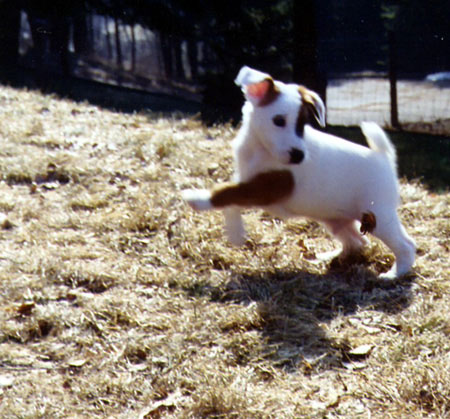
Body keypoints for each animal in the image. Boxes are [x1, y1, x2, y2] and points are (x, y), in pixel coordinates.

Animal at [182, 67, 414, 280]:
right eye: (279, 121)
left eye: (302, 124)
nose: (299, 156)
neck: (260, 149)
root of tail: (384, 157)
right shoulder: (248, 181)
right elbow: (231, 199)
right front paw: (235, 231)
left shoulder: (265, 187)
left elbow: (225, 191)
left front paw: (197, 198)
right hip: (336, 220)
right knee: (358, 241)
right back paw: (331, 258)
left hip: (378, 217)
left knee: (406, 244)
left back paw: (395, 273)